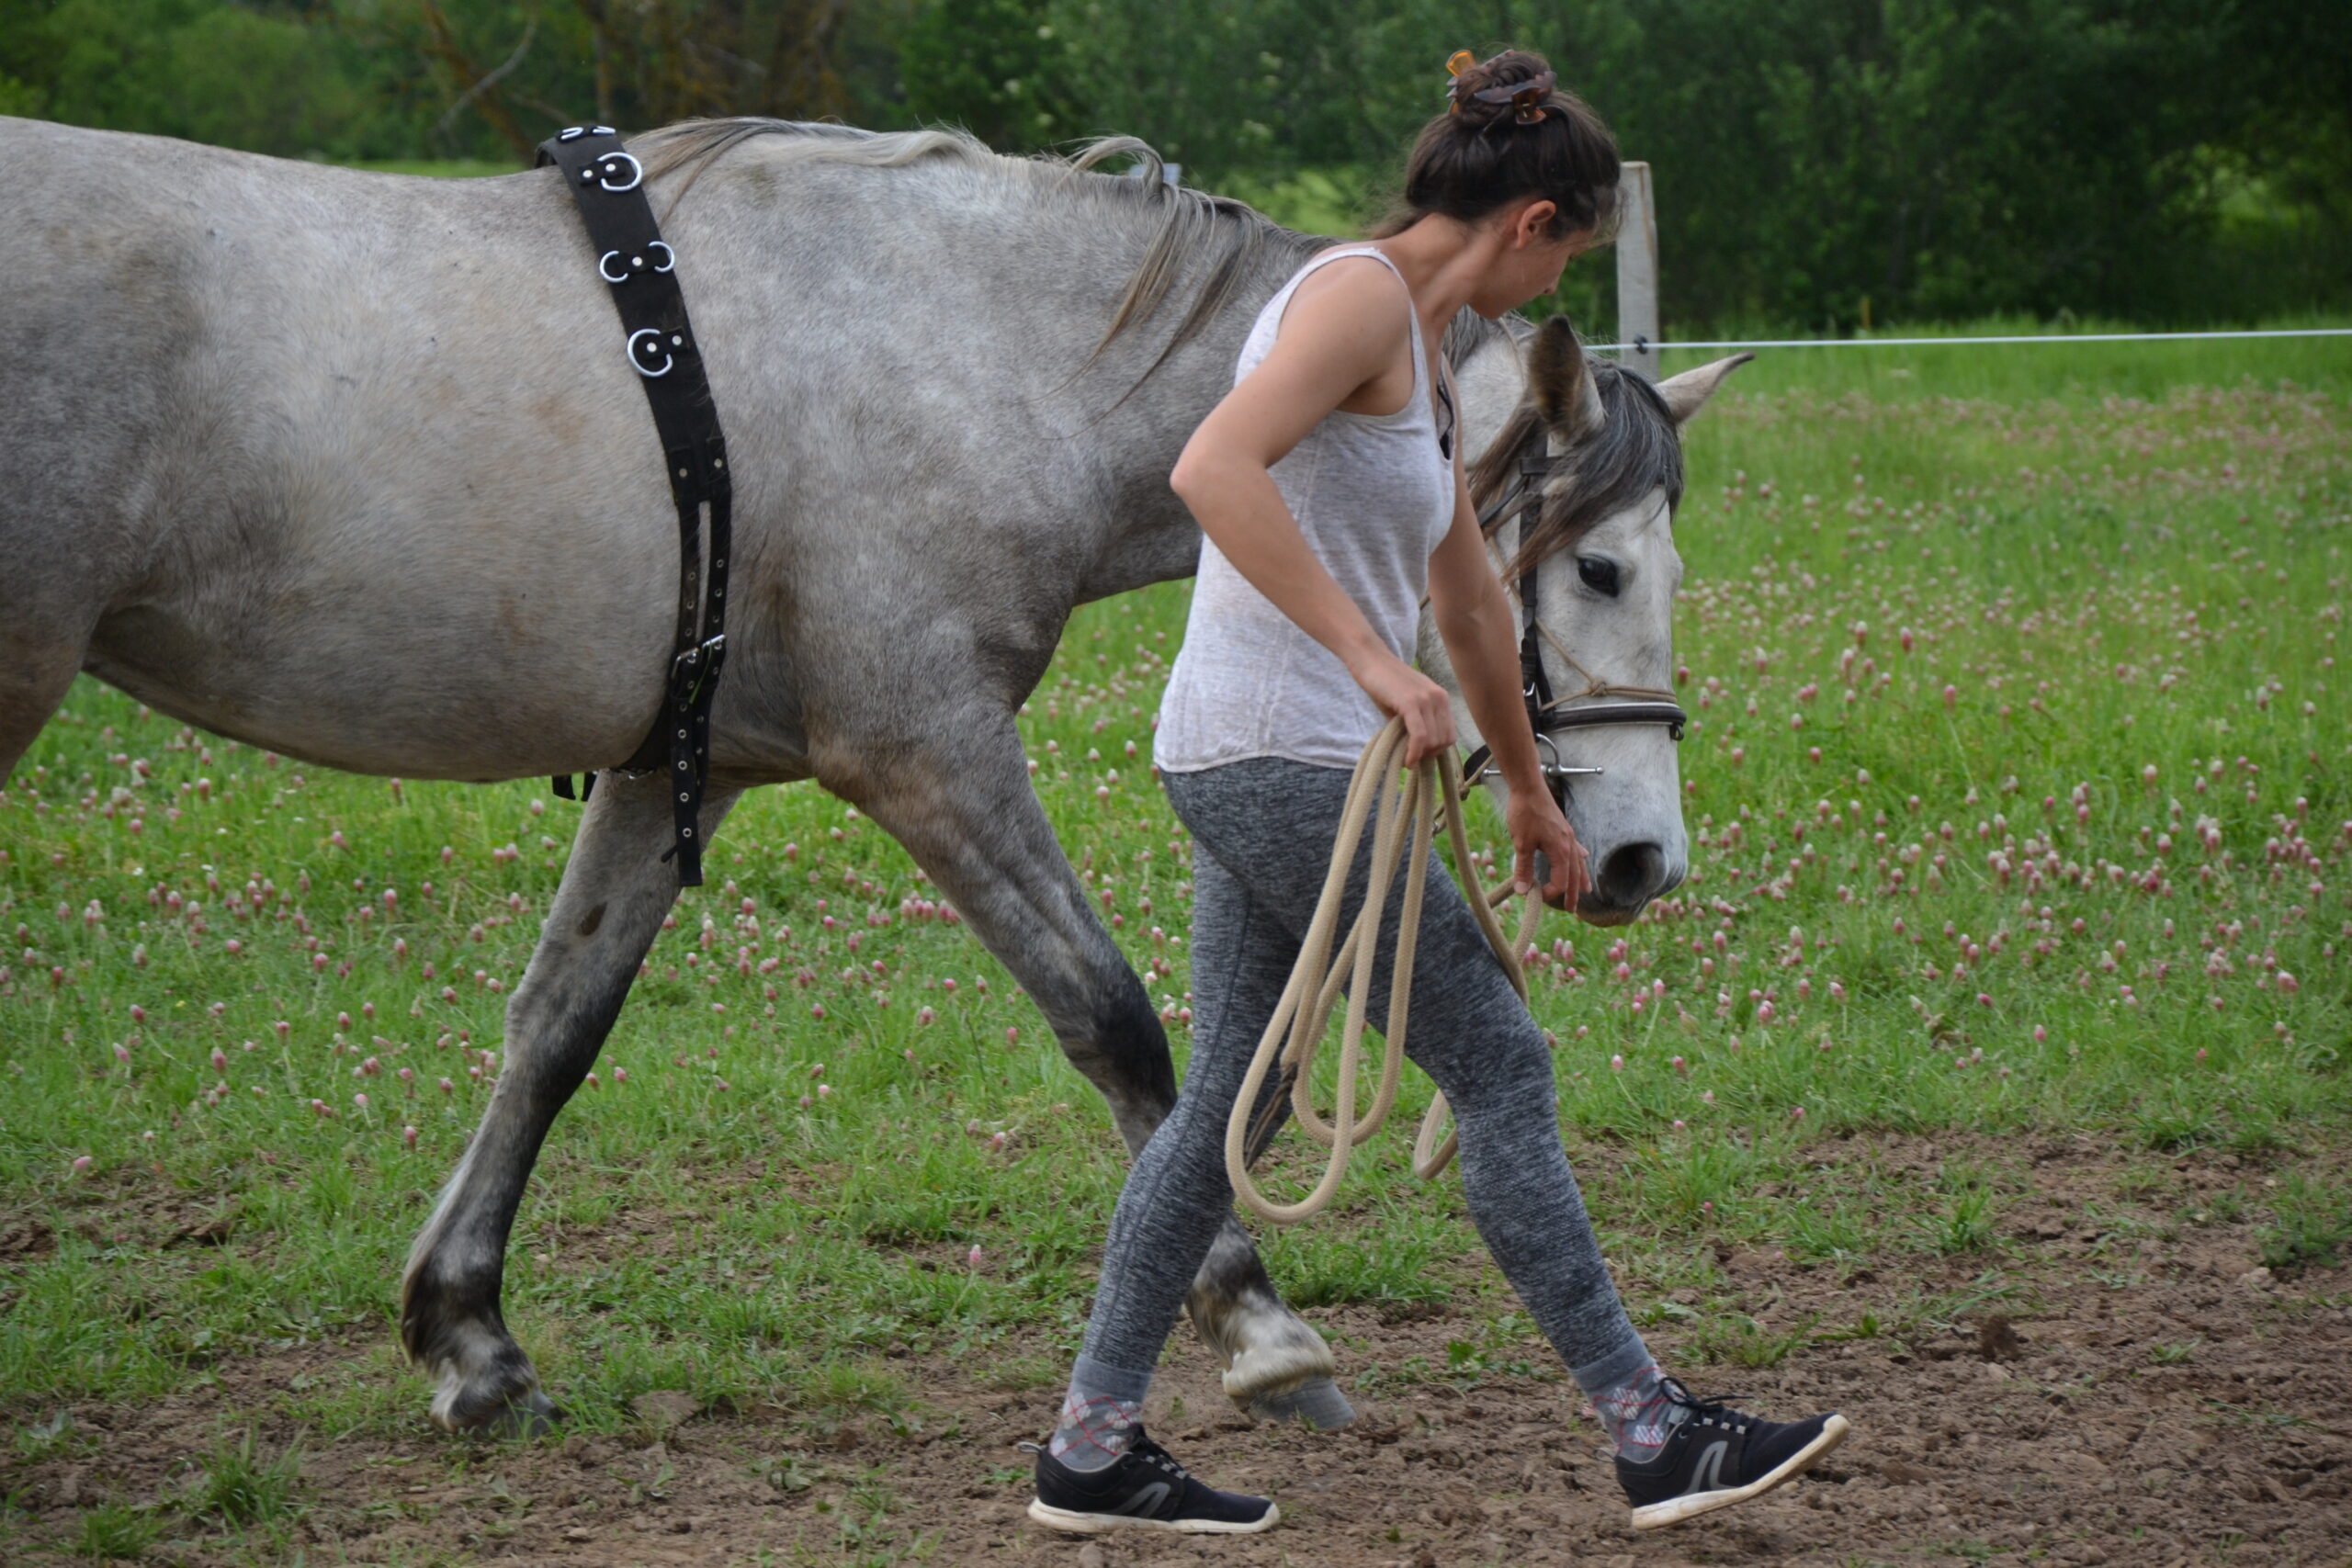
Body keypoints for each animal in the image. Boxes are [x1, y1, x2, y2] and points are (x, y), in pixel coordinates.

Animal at [0, 113, 1740, 1438]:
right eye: (1597, 567)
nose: (1640, 859)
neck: (961, 354)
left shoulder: (678, 770)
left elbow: (554, 1029)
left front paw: (468, 1337)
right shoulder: (927, 754)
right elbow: (1114, 1022)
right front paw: (1259, 1328)